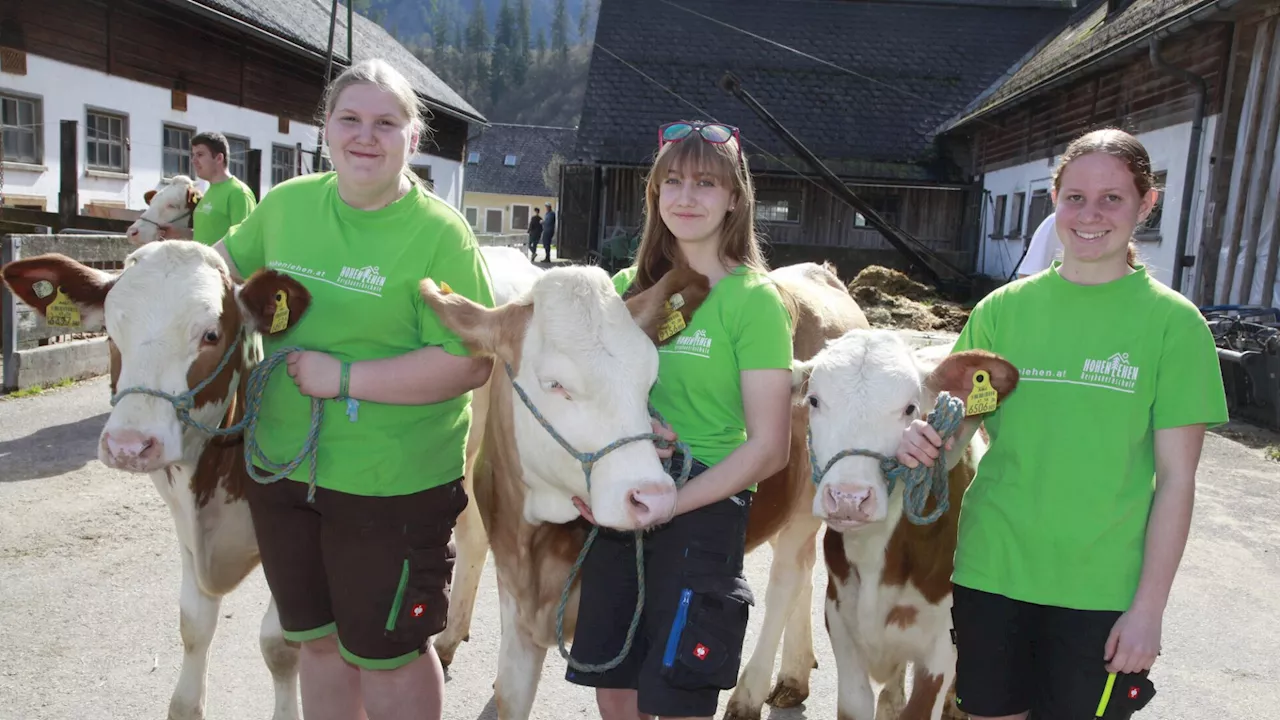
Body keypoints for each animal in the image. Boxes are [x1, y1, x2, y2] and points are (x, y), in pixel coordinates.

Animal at [2, 242, 308, 717]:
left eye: (211, 335)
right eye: (110, 333)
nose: (129, 445)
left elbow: (279, 644)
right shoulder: (186, 528)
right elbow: (193, 626)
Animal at [419, 260, 870, 712]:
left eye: (649, 378)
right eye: (555, 384)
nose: (652, 497)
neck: (536, 538)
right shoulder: (515, 600)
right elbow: (510, 697)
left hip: (810, 502)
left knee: (786, 578)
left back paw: (748, 694)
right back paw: (795, 674)